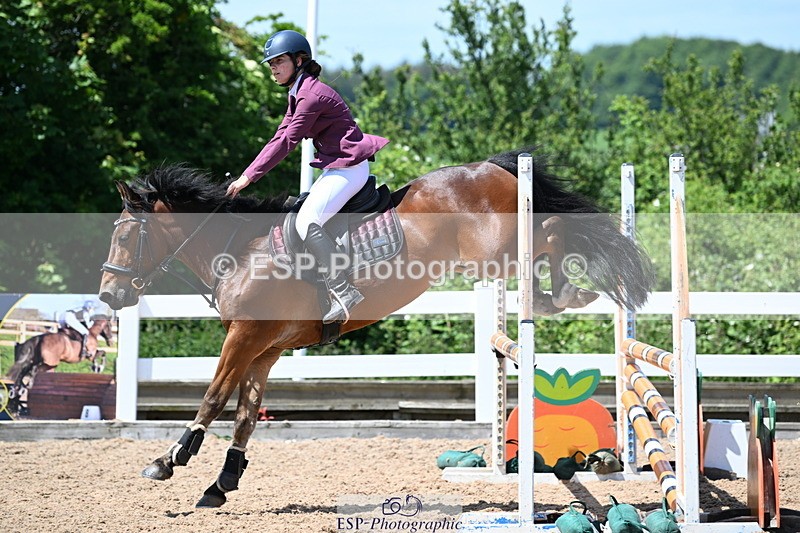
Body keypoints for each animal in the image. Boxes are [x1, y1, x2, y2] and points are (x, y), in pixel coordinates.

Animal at [98, 148, 654, 507]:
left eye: (124, 235)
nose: (109, 296)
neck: (239, 251)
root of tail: (491, 167)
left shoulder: (245, 337)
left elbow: (213, 398)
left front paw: (169, 460)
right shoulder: (265, 348)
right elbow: (246, 414)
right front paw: (222, 483)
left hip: (497, 252)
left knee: (554, 231)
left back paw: (565, 292)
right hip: (496, 259)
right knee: (550, 240)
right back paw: (556, 295)